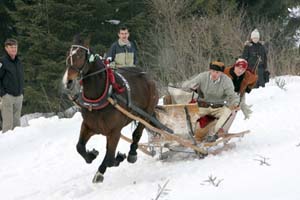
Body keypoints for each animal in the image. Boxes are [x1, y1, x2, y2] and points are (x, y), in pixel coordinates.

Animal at [61, 36, 158, 183]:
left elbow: (110, 158)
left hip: (146, 113)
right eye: (68, 55)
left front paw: (104, 169)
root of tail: (148, 77)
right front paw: (91, 155)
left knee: (137, 133)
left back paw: (132, 153)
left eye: (80, 55)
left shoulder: (114, 132)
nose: (69, 81)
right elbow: (80, 147)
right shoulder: (89, 126)